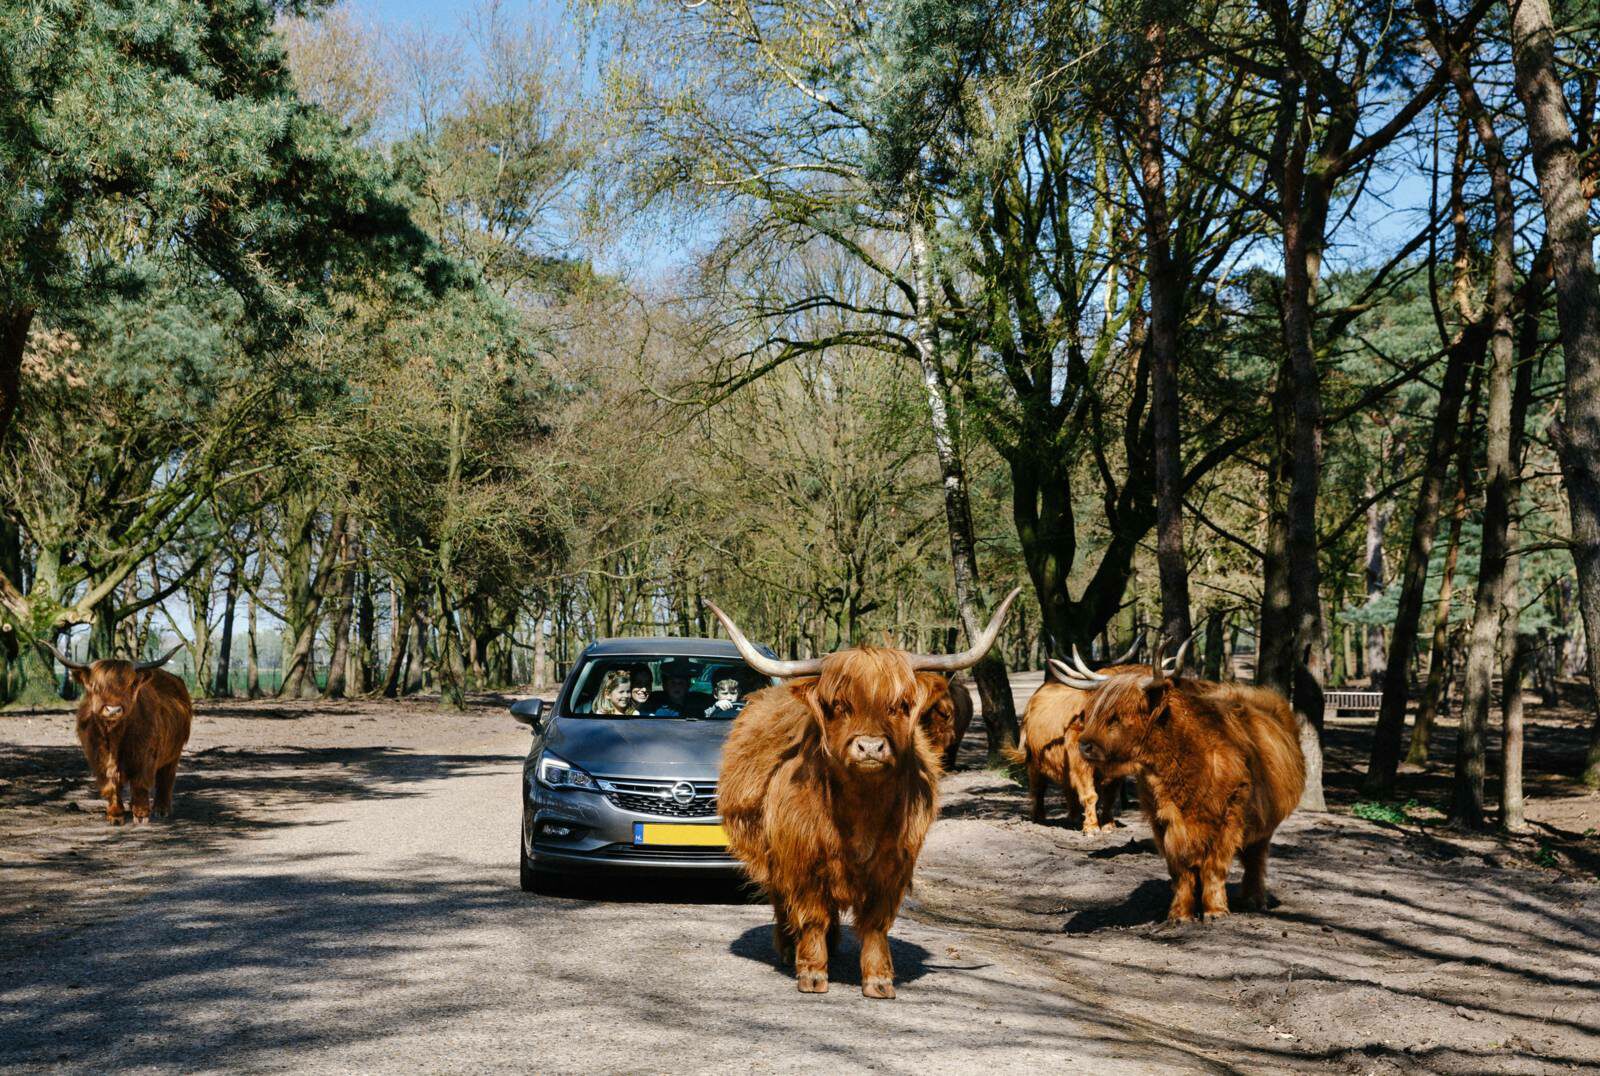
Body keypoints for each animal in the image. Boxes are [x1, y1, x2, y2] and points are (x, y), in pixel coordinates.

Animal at [37, 646, 192, 826]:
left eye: (132, 684)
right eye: (95, 686)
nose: (113, 709)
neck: (114, 737)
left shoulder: (145, 757)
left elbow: (140, 784)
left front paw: (141, 815)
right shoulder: (98, 758)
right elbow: (110, 784)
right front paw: (115, 816)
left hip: (174, 753)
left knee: (166, 779)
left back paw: (161, 810)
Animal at [710, 589, 1017, 999]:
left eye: (900, 705)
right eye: (839, 705)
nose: (870, 747)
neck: (860, 813)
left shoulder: (893, 864)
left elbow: (874, 922)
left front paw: (878, 979)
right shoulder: (802, 858)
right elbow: (811, 914)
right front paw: (812, 973)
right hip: (769, 853)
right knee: (783, 902)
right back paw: (789, 948)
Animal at [1056, 634, 1305, 922]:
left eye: (1117, 716)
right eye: (1094, 711)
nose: (1084, 745)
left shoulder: (1228, 816)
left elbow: (1214, 865)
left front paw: (1215, 911)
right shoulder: (1163, 820)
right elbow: (1181, 869)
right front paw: (1179, 913)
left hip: (1265, 820)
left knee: (1255, 857)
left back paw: (1253, 900)